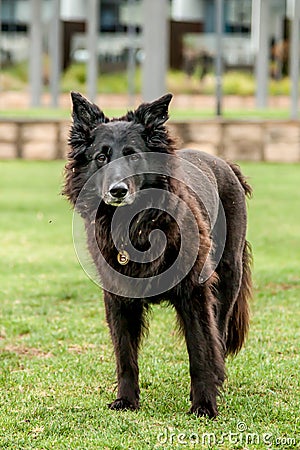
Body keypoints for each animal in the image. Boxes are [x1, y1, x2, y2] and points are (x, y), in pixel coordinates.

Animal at [64, 92, 252, 418]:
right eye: (101, 157)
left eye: (133, 156)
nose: (117, 190)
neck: (138, 225)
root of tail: (226, 164)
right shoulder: (118, 299)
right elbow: (125, 356)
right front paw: (126, 401)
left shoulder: (195, 295)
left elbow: (201, 350)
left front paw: (204, 404)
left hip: (229, 278)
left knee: (218, 333)